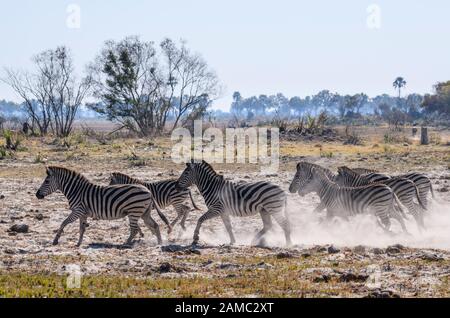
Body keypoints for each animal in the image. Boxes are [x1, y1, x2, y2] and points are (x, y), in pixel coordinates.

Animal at [35, 168, 169, 247]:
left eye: (46, 181)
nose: (37, 195)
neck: (76, 191)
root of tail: (148, 191)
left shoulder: (78, 210)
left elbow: (64, 222)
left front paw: (55, 240)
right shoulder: (83, 213)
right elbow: (81, 229)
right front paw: (78, 243)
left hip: (134, 212)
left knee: (135, 229)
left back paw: (125, 243)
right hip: (144, 213)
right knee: (155, 225)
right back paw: (159, 243)